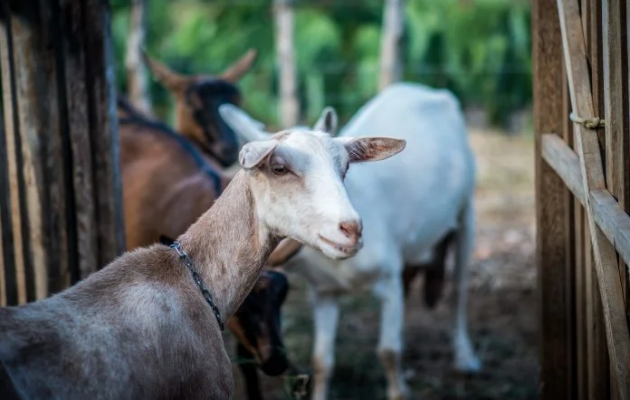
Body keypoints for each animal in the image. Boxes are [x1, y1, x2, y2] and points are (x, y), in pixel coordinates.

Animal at [220, 82, 482, 400]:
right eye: (277, 169)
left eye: (344, 168)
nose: (350, 229)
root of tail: (429, 91)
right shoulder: (323, 292)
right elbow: (322, 361)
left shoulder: (388, 276)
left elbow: (389, 351)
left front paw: (399, 390)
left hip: (467, 209)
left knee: (458, 290)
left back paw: (465, 358)